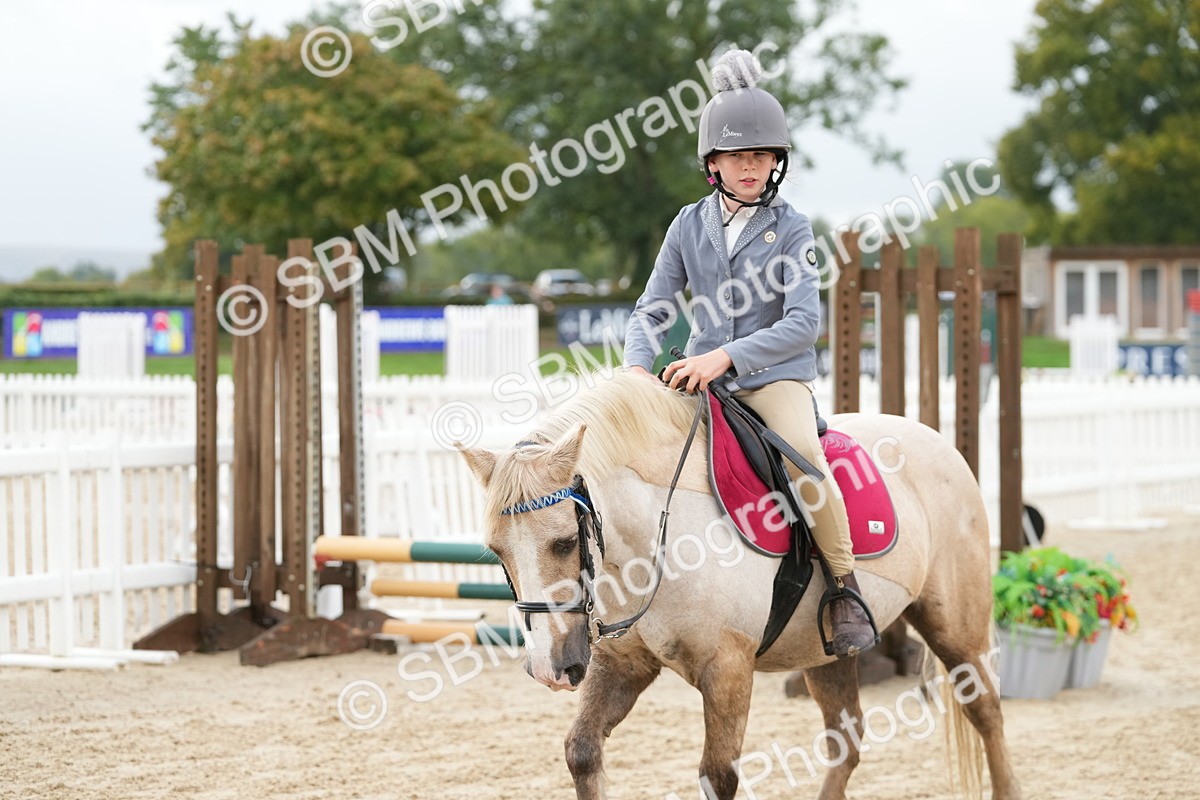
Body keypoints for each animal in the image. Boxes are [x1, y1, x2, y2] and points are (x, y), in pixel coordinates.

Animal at [459, 371, 1022, 800]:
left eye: (561, 543)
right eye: (497, 552)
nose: (549, 668)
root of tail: (938, 441)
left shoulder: (727, 669)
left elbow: (718, 776)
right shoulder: (624, 663)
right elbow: (582, 751)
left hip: (955, 629)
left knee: (987, 712)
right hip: (826, 654)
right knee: (847, 739)